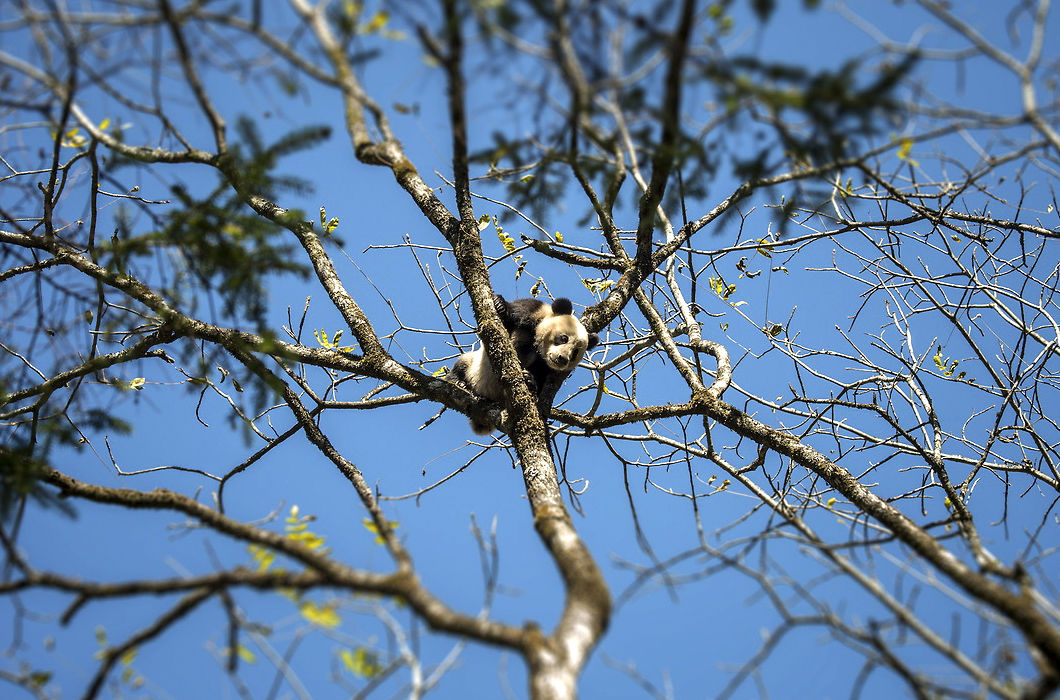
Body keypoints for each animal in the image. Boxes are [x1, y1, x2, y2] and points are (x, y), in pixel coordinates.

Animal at [447, 292, 597, 434]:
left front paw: (530, 381)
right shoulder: (531, 311)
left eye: (575, 352)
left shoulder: (545, 367)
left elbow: (540, 380)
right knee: (462, 364)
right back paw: (459, 381)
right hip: (474, 367)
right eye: (564, 338)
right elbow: (497, 328)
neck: (537, 348)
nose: (562, 359)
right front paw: (500, 304)